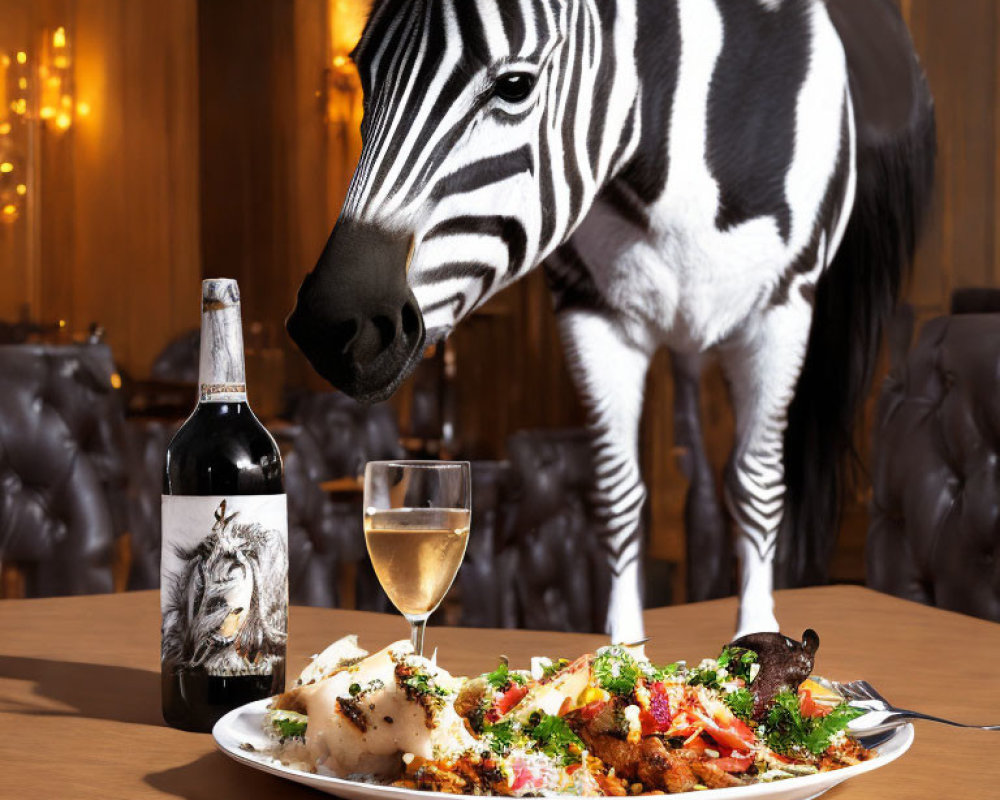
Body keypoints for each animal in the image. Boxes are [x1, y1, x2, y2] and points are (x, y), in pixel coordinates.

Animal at [286, 0, 932, 640]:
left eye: (515, 86)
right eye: (363, 72)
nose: (329, 326)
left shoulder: (781, 309)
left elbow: (756, 483)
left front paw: (755, 634)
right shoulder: (592, 310)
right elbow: (618, 490)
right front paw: (623, 646)